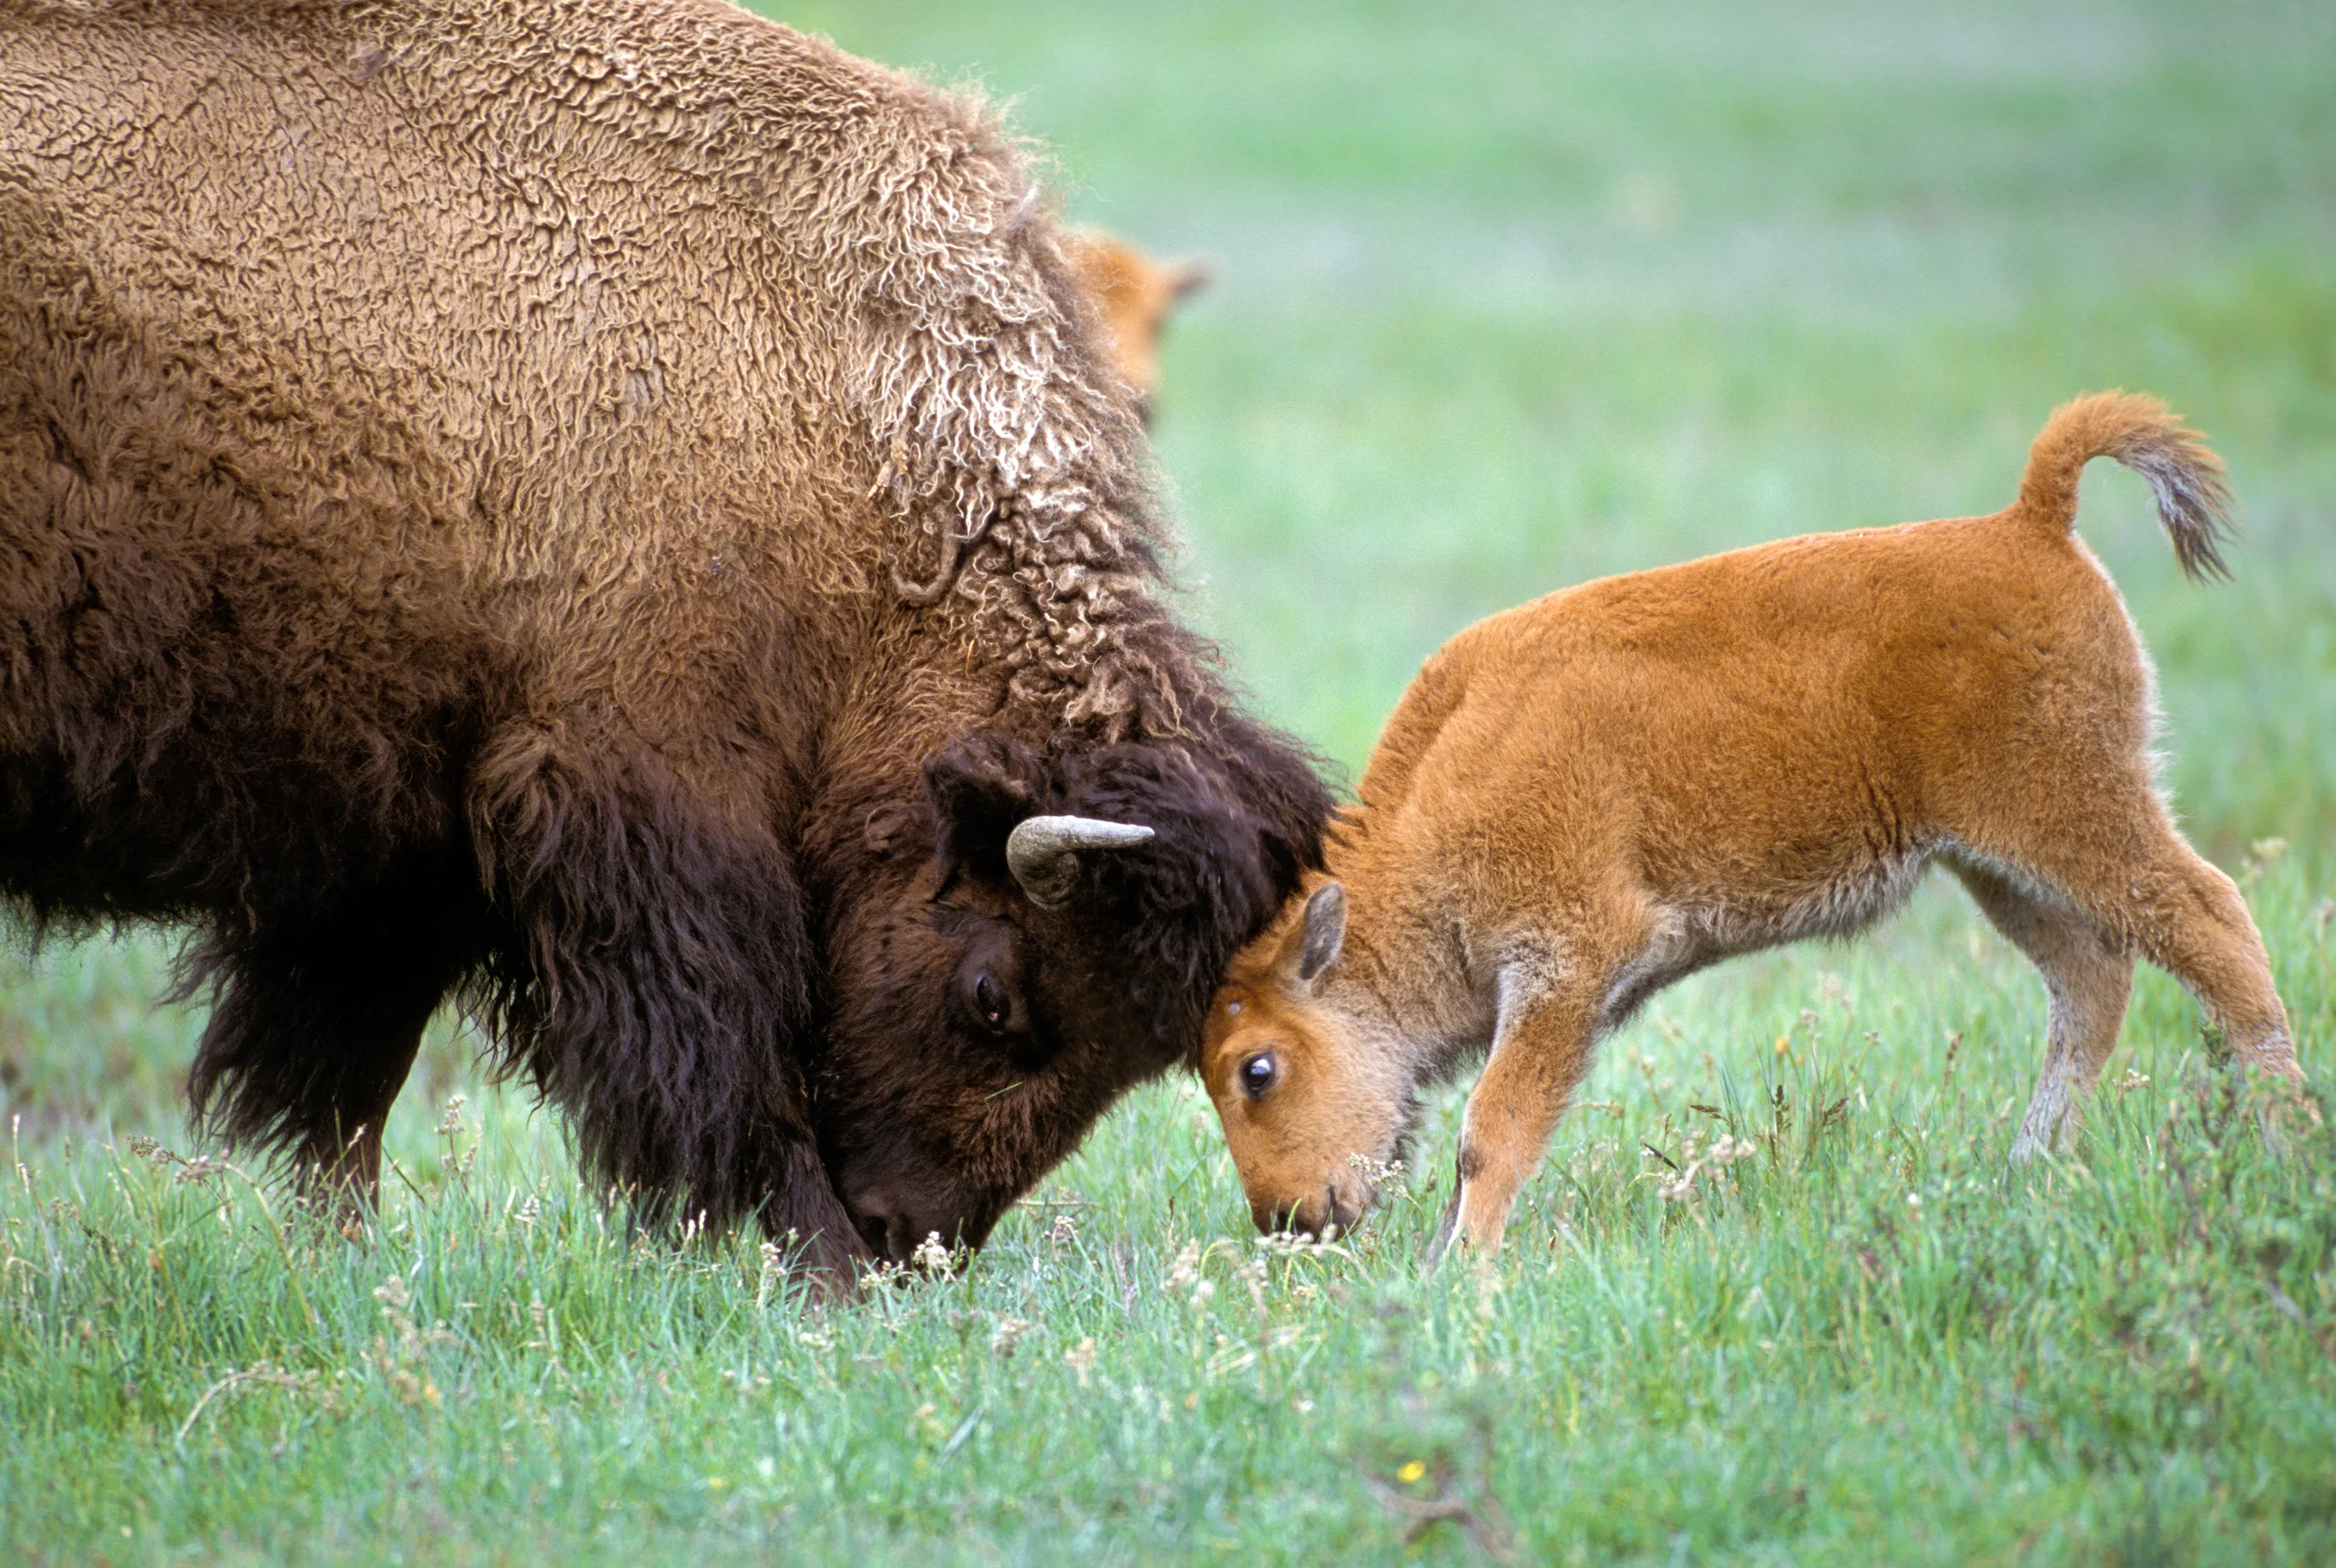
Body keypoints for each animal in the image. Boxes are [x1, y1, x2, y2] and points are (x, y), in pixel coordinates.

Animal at [0, 0, 1336, 1271]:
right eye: (992, 996)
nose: (908, 1239)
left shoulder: (406, 833)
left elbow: (345, 1089)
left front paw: (341, 1257)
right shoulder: (640, 797)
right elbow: (725, 1060)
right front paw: (816, 1267)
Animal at [1205, 394, 2298, 1262]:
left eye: (1257, 1068)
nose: (1290, 1221)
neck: (1436, 800)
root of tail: (2027, 522)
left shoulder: (1565, 963)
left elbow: (1494, 1126)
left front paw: (1463, 1270)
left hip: (2074, 815)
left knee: (2211, 922)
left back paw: (2285, 1129)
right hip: (1995, 864)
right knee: (2090, 980)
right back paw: (2027, 1164)